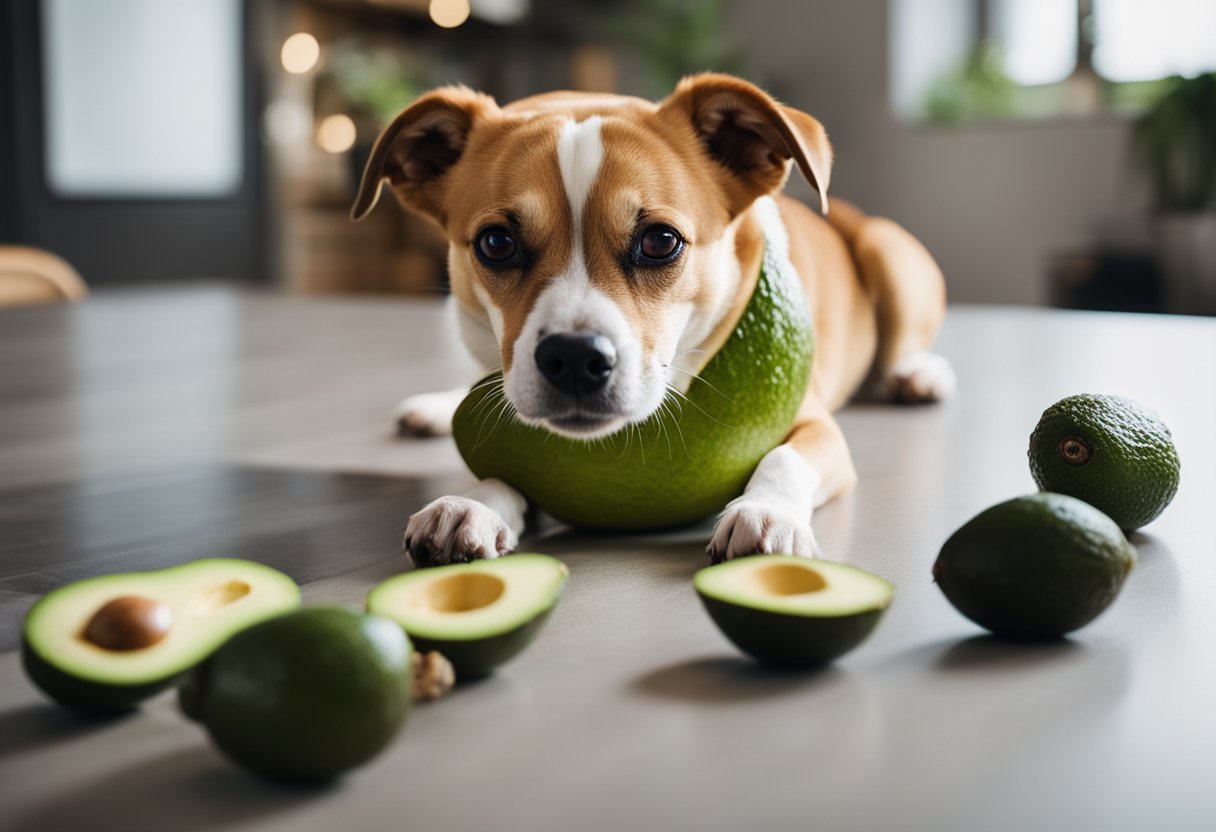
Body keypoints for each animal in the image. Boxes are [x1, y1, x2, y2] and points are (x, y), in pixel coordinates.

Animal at [347, 72, 953, 564]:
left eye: (661, 241)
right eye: (496, 243)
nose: (573, 358)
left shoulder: (816, 425)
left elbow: (785, 457)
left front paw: (767, 512)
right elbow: (506, 467)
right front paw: (470, 505)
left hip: (886, 250)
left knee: (901, 345)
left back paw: (920, 375)